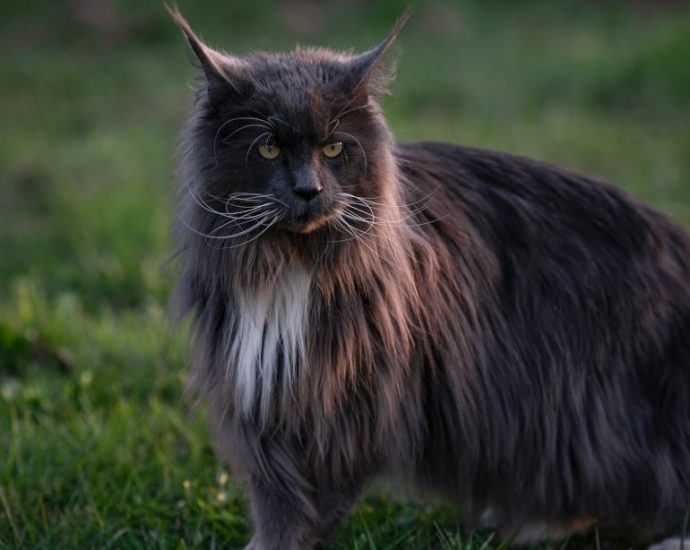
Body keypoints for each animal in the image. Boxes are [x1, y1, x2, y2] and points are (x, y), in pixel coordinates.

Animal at [167, 7, 688, 550]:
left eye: (333, 148)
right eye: (268, 149)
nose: (308, 190)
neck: (295, 267)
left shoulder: (351, 403)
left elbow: (311, 503)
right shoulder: (263, 396)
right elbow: (280, 497)